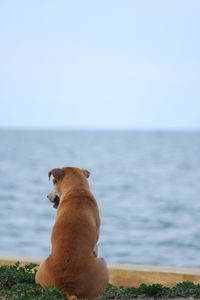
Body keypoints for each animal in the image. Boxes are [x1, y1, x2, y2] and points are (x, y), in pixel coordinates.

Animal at [35, 168, 108, 298]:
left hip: (42, 266)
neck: (76, 189)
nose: (47, 196)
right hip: (103, 263)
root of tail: (68, 288)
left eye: (53, 182)